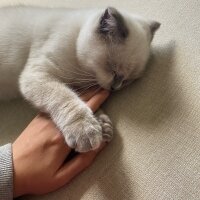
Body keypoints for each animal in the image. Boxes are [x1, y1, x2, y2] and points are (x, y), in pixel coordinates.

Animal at [0, 6, 160, 152]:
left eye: (127, 80)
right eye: (114, 71)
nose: (116, 88)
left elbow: (83, 100)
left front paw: (103, 125)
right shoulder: (38, 75)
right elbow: (66, 98)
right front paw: (86, 130)